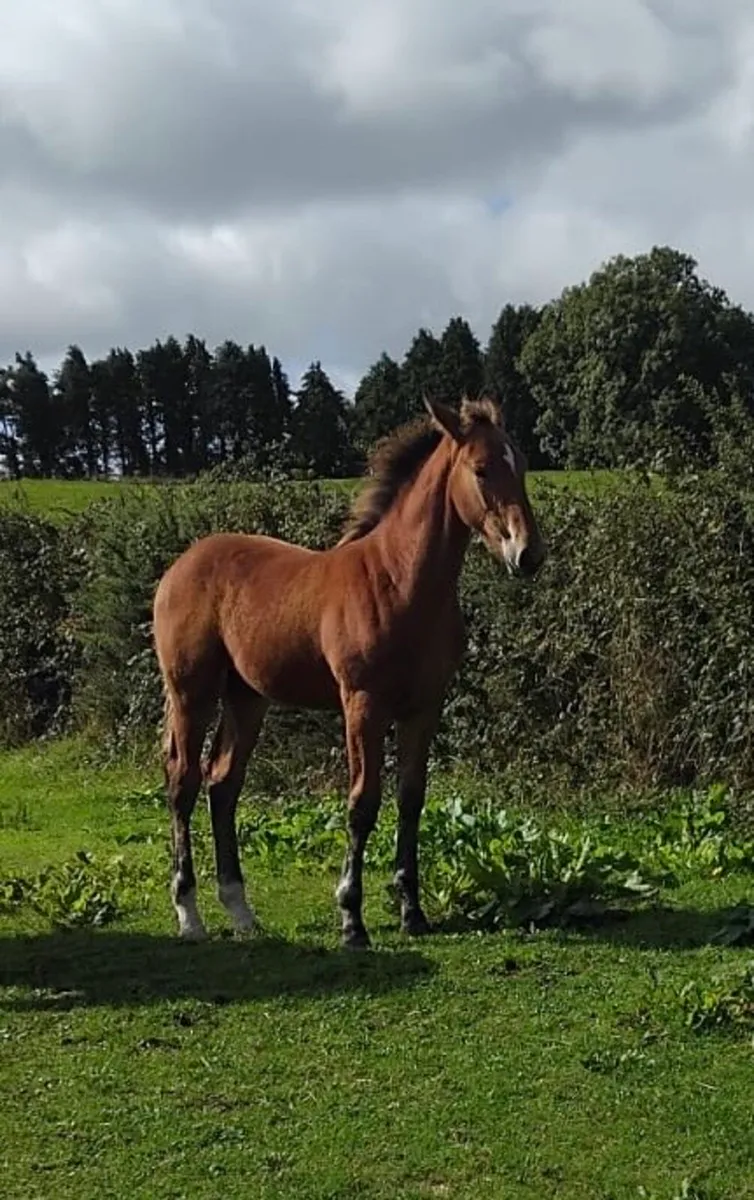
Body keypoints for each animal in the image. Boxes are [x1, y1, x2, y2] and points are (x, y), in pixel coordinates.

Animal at [152, 395, 546, 949]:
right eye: (482, 469)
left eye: (524, 465)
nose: (528, 554)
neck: (398, 581)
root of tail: (181, 564)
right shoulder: (362, 705)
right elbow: (362, 804)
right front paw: (351, 919)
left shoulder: (424, 707)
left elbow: (410, 798)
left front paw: (412, 913)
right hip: (192, 692)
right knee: (183, 783)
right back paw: (189, 915)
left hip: (247, 697)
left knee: (223, 783)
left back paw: (242, 912)